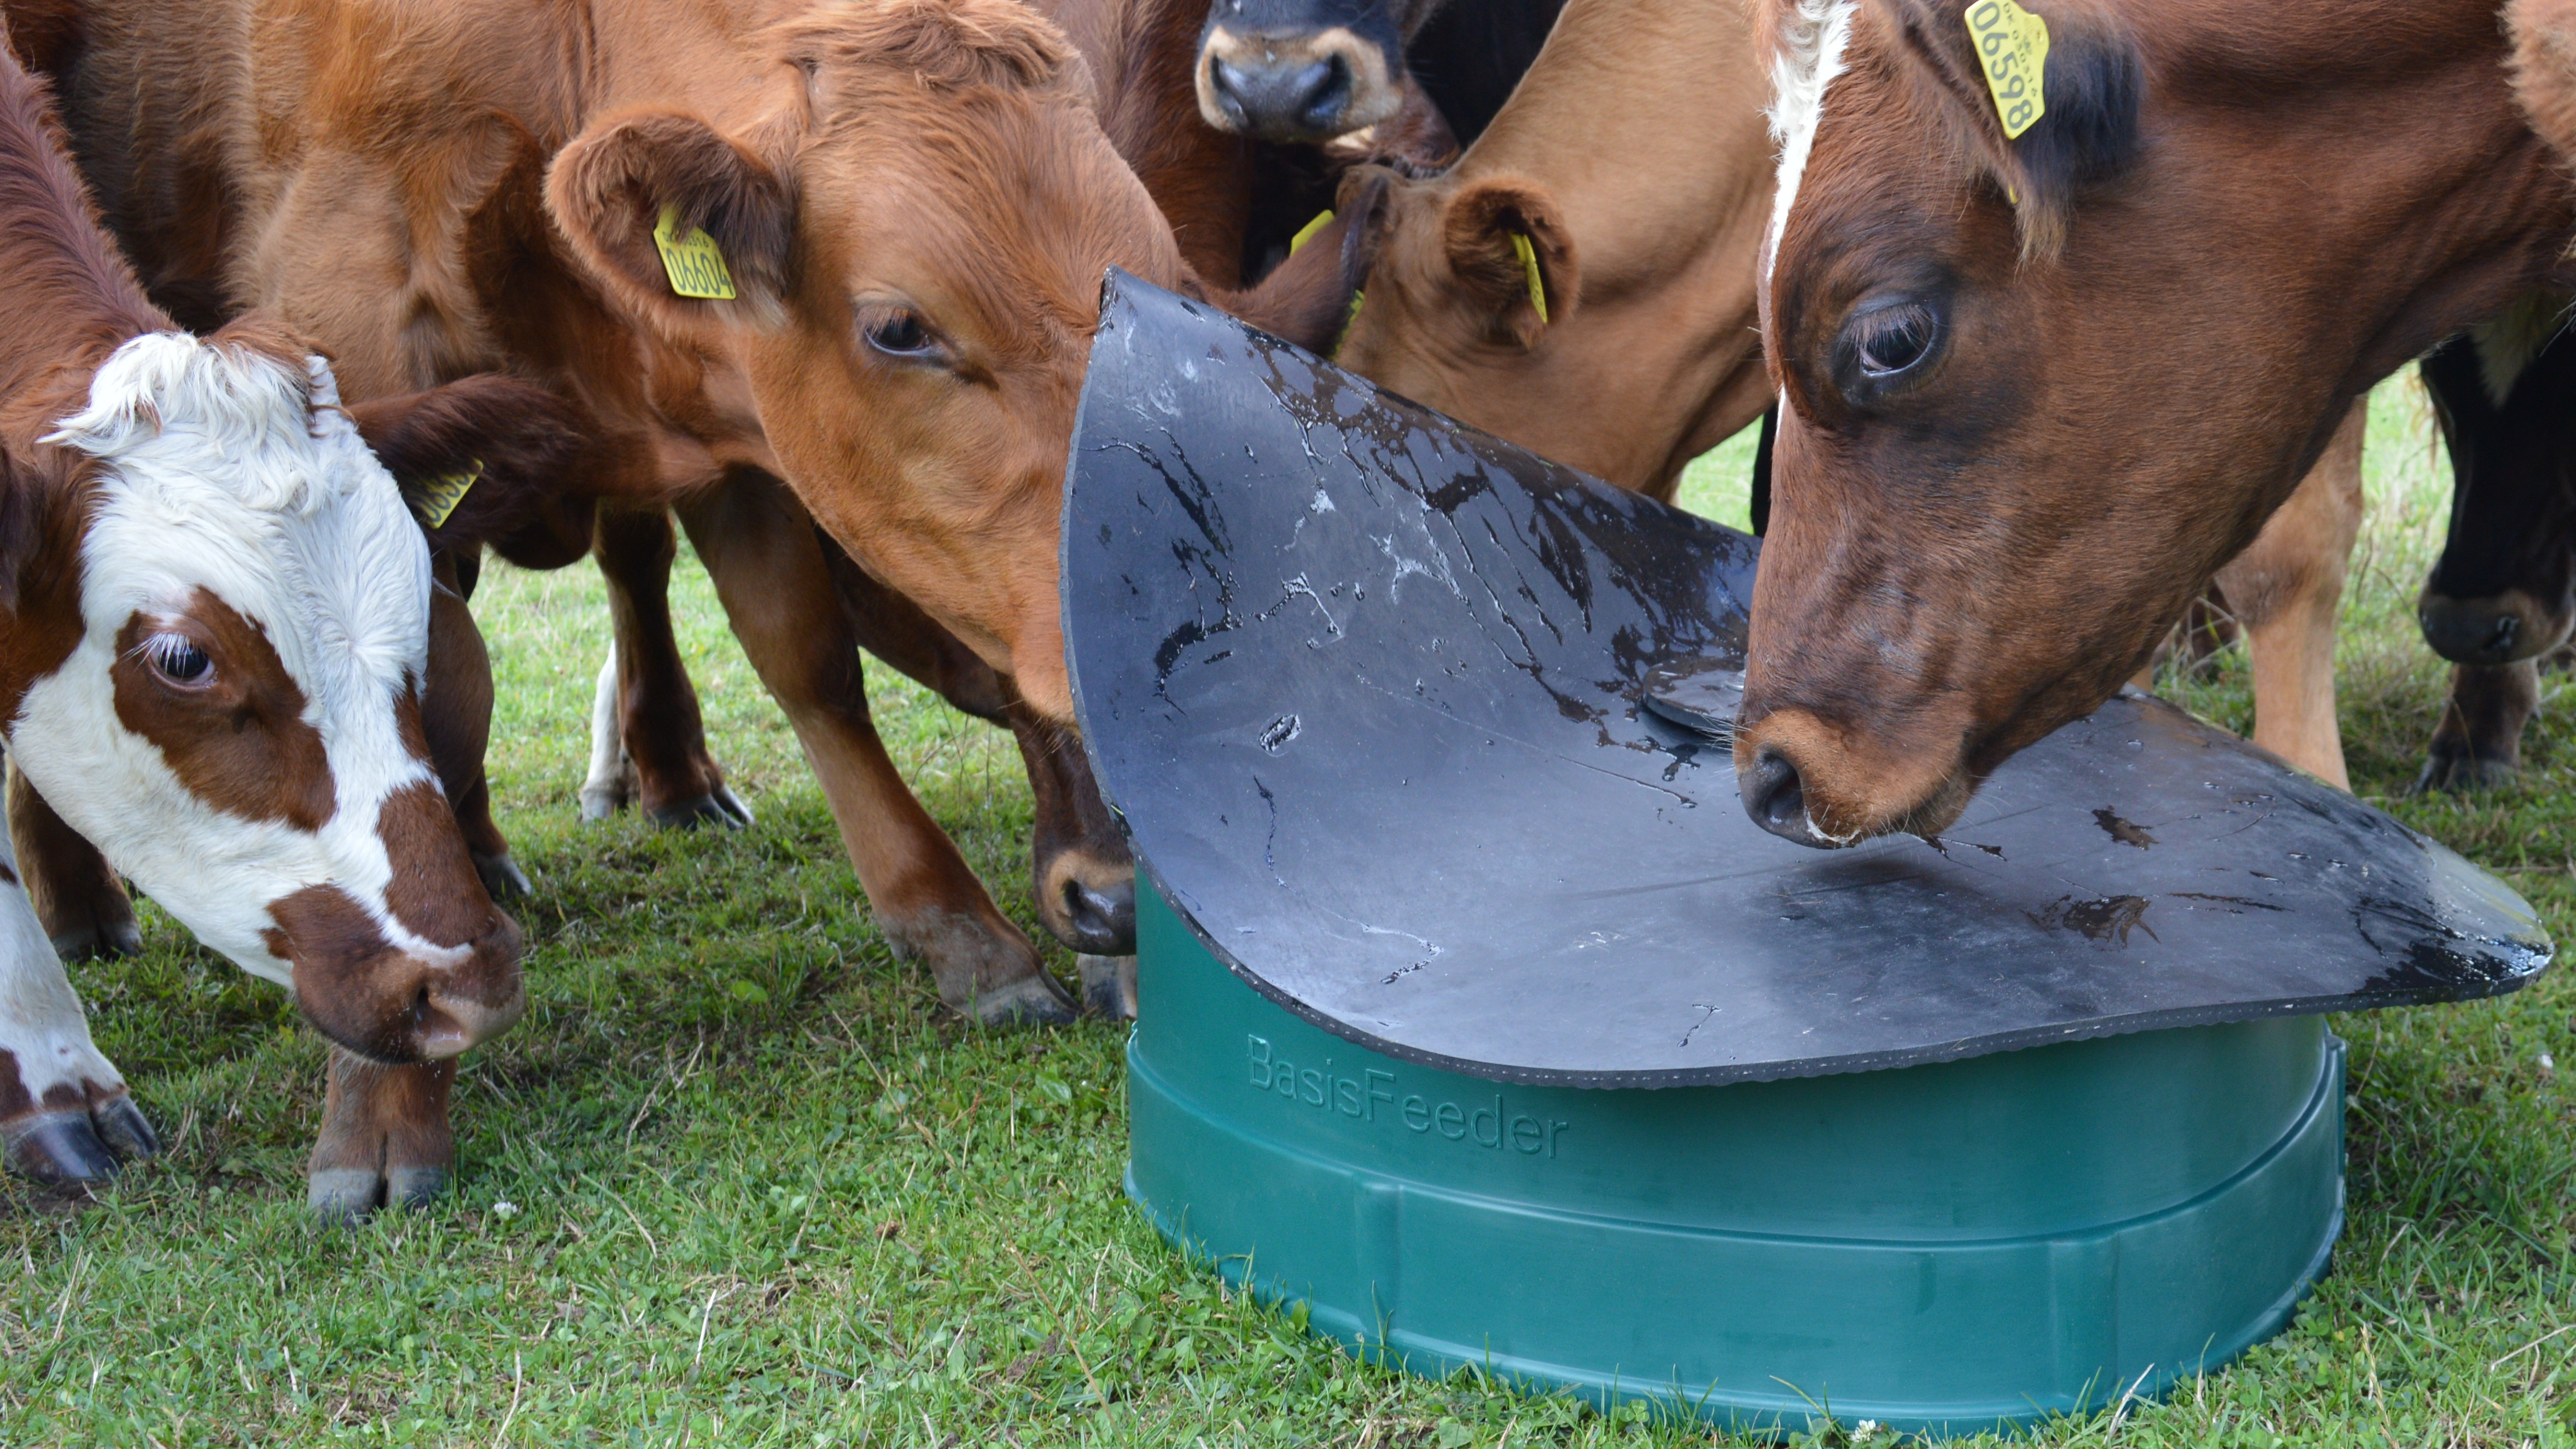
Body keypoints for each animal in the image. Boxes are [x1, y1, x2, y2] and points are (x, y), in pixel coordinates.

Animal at [20, 0, 1360, 1026]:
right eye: (900, 327)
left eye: (1161, 293)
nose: (1123, 901)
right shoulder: (351, 360)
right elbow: (421, 679)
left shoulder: (741, 419)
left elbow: (801, 651)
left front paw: (953, 929)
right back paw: (81, 902)